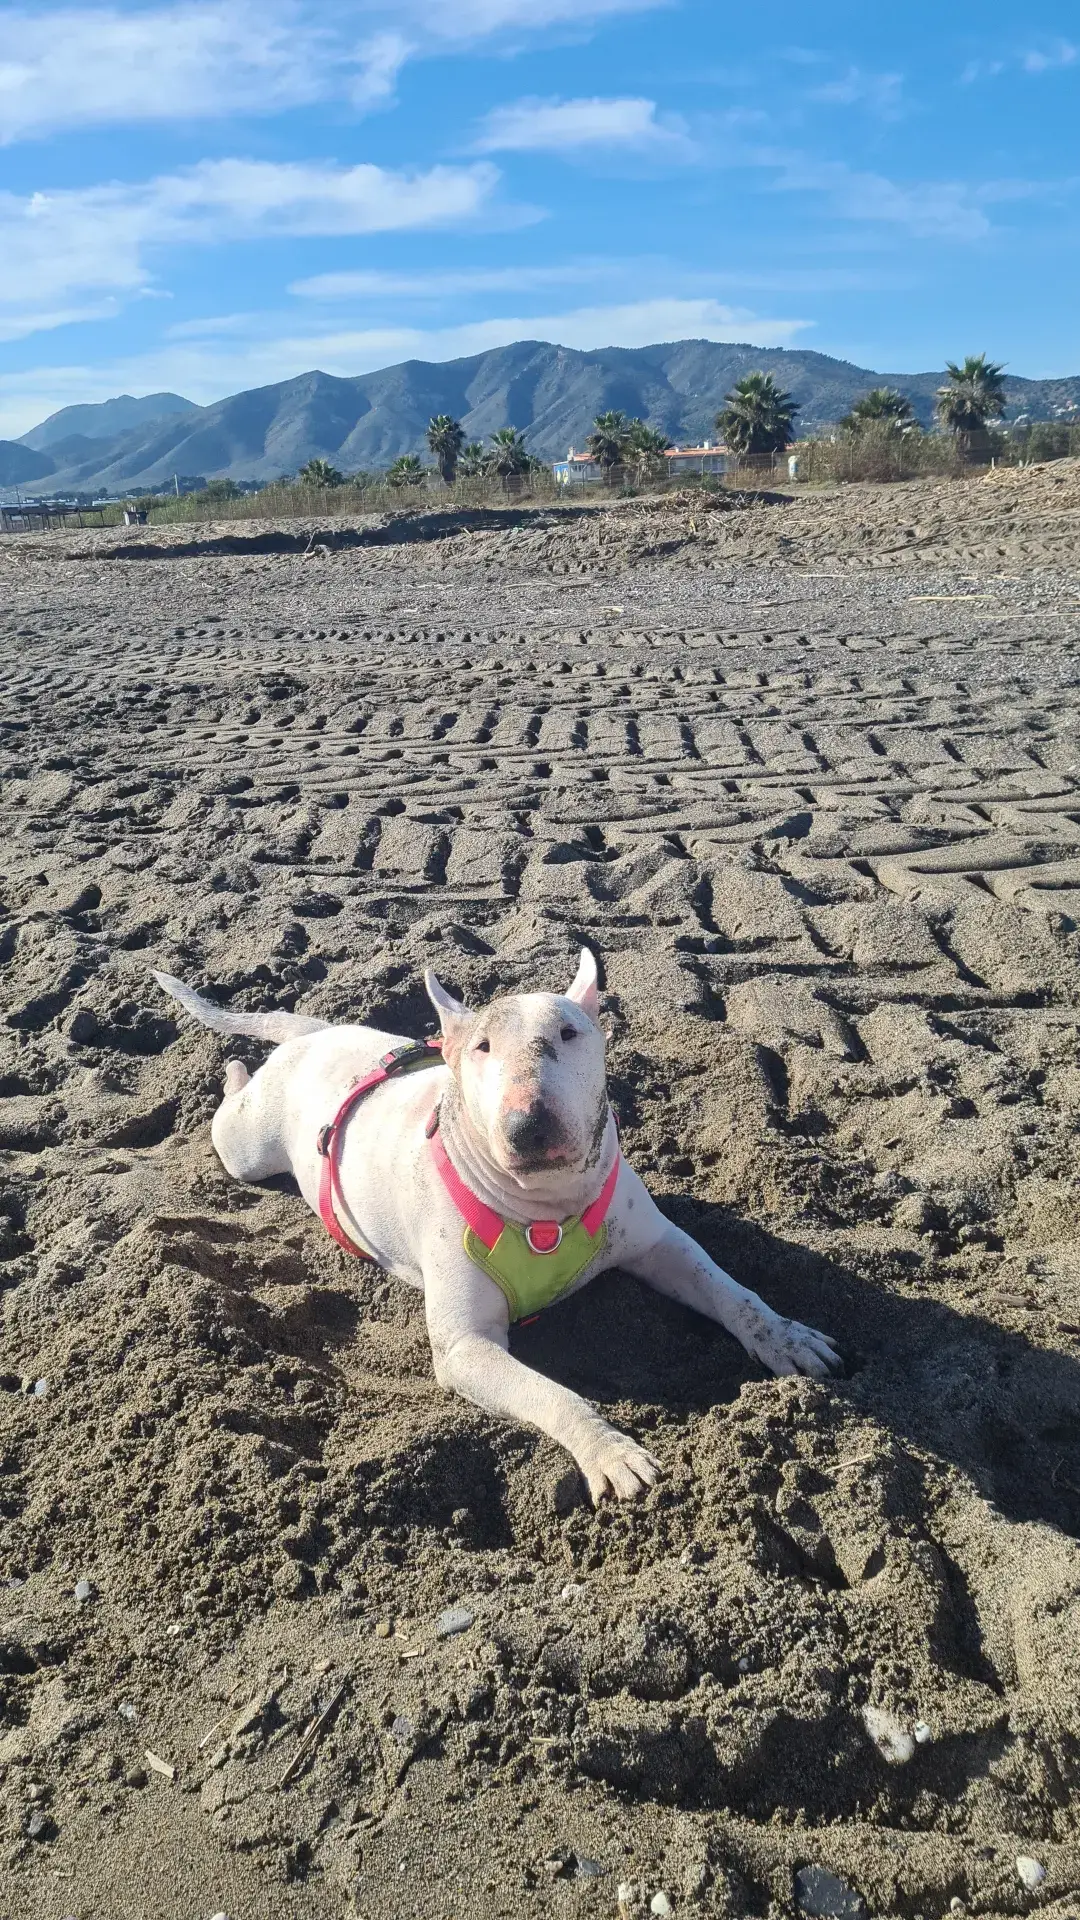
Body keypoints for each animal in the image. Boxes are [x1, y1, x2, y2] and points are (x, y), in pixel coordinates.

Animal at [155, 952, 837, 1505]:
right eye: (481, 1047)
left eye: (569, 1032)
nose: (527, 1125)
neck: (544, 1212)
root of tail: (313, 1037)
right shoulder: (467, 1348)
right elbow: (552, 1394)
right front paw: (611, 1452)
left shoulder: (659, 1244)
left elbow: (732, 1291)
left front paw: (788, 1336)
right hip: (244, 1146)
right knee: (234, 1113)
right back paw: (233, 1071)